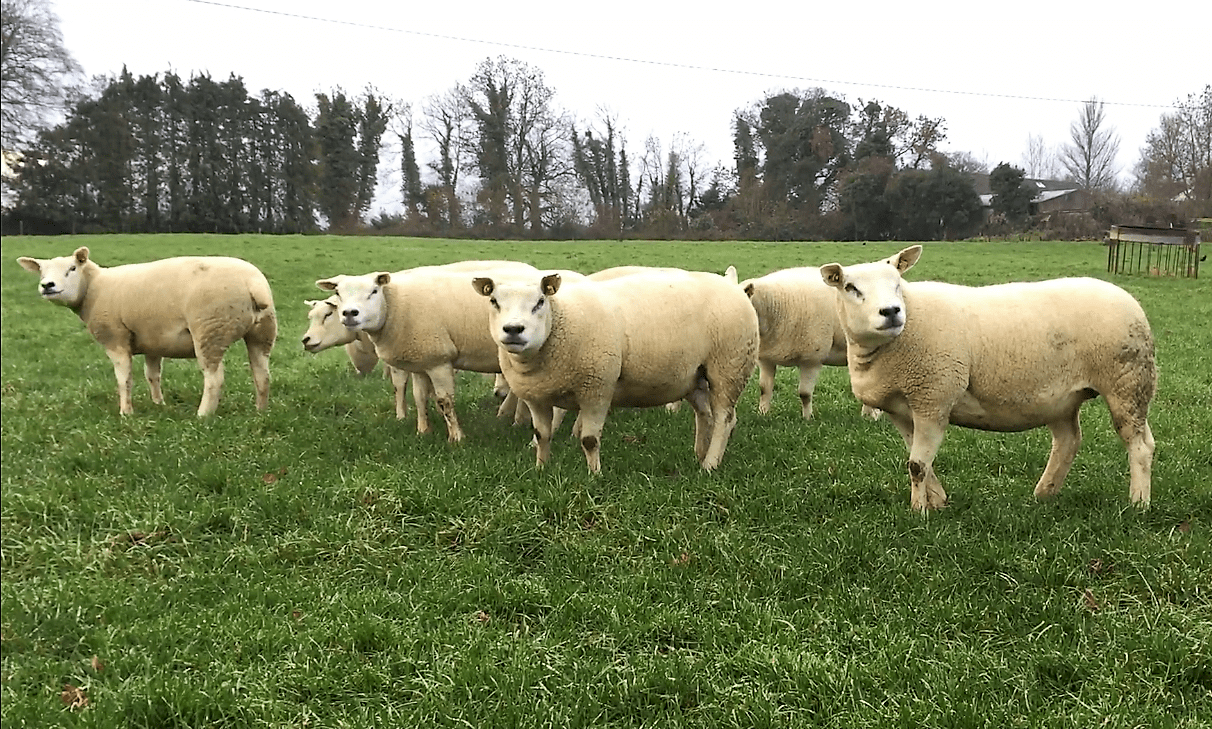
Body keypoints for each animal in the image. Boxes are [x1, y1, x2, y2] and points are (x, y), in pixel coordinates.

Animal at [16, 246, 276, 416]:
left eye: (71, 268)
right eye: (42, 272)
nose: (47, 285)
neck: (94, 288)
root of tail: (253, 284)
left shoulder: (115, 338)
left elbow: (124, 379)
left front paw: (126, 413)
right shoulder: (154, 341)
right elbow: (152, 375)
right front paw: (158, 404)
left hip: (209, 330)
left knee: (214, 379)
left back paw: (203, 415)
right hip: (262, 331)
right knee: (262, 374)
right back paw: (261, 411)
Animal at [471, 268, 759, 473]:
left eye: (540, 301)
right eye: (494, 301)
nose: (513, 329)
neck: (561, 320)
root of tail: (734, 288)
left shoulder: (597, 387)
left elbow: (589, 439)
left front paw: (594, 476)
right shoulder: (536, 397)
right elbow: (541, 435)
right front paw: (541, 469)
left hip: (729, 366)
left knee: (724, 418)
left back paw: (710, 465)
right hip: (694, 375)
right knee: (704, 414)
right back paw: (700, 455)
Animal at [741, 266, 880, 420]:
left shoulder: (811, 359)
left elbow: (804, 394)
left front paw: (807, 419)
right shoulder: (766, 359)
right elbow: (764, 389)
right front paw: (763, 414)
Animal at [819, 245, 1156, 511]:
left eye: (897, 283)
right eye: (850, 288)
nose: (891, 311)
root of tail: (1127, 297)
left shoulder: (934, 397)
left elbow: (917, 465)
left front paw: (919, 512)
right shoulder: (902, 409)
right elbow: (921, 462)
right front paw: (937, 502)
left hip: (1127, 382)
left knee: (1140, 445)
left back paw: (1138, 503)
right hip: (1061, 398)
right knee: (1068, 441)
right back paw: (1044, 494)